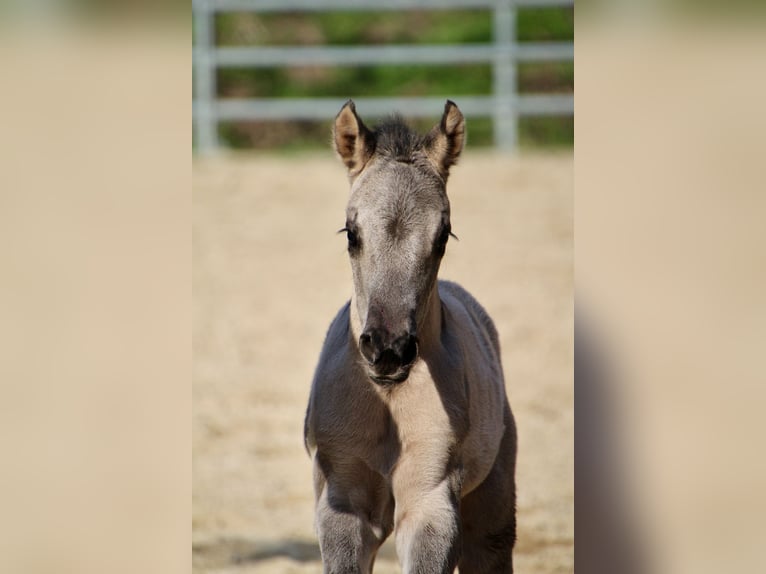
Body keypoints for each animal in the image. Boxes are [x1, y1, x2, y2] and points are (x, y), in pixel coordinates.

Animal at [304, 100, 517, 573]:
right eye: (351, 232)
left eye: (443, 236)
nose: (388, 350)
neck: (387, 402)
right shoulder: (342, 501)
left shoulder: (431, 502)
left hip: (492, 508)